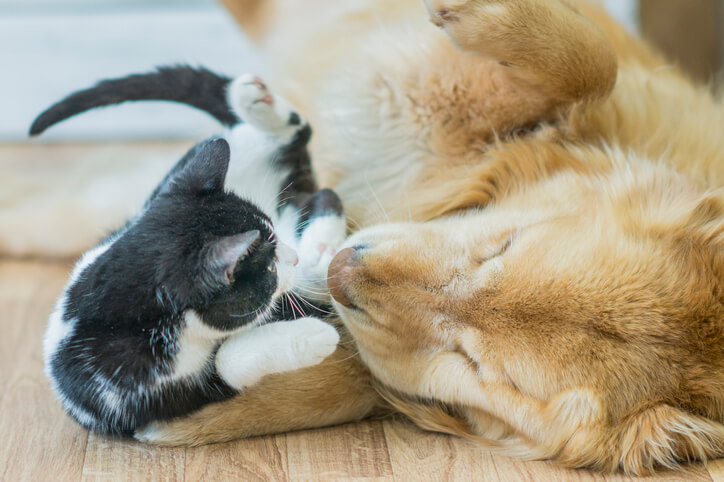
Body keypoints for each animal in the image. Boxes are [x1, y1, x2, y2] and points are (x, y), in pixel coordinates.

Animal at [35, 67, 346, 436]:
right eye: (269, 268)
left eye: (270, 245)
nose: (292, 258)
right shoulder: (157, 394)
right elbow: (225, 363)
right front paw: (314, 334)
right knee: (321, 194)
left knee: (304, 148)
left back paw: (257, 104)